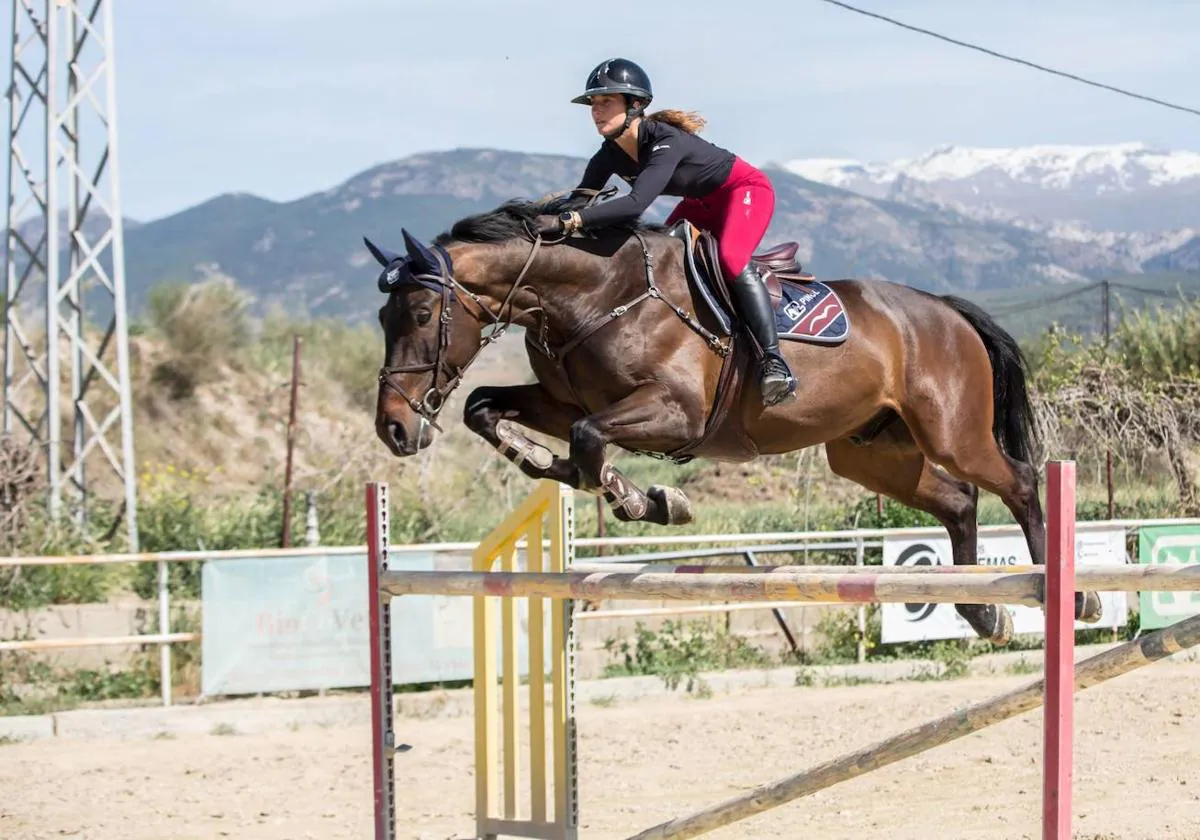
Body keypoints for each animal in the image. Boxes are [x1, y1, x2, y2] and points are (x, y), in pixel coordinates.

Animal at [364, 190, 1104, 643]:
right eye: (383, 317)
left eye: (423, 314)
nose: (394, 428)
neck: (595, 293)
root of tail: (947, 312)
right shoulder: (566, 399)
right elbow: (487, 408)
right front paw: (562, 468)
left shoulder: (675, 414)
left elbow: (589, 441)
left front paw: (644, 498)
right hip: (870, 453)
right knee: (958, 501)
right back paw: (981, 610)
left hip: (953, 431)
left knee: (1018, 482)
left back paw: (1066, 597)